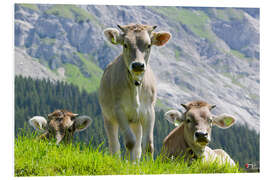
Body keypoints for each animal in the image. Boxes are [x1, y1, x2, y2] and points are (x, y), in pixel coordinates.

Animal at [98, 23, 171, 160]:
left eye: (149, 45)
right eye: (125, 44)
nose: (137, 65)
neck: (136, 85)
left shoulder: (149, 112)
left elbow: (148, 145)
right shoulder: (119, 111)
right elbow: (130, 142)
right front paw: (127, 163)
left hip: (136, 121)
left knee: (138, 145)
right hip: (108, 117)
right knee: (114, 144)